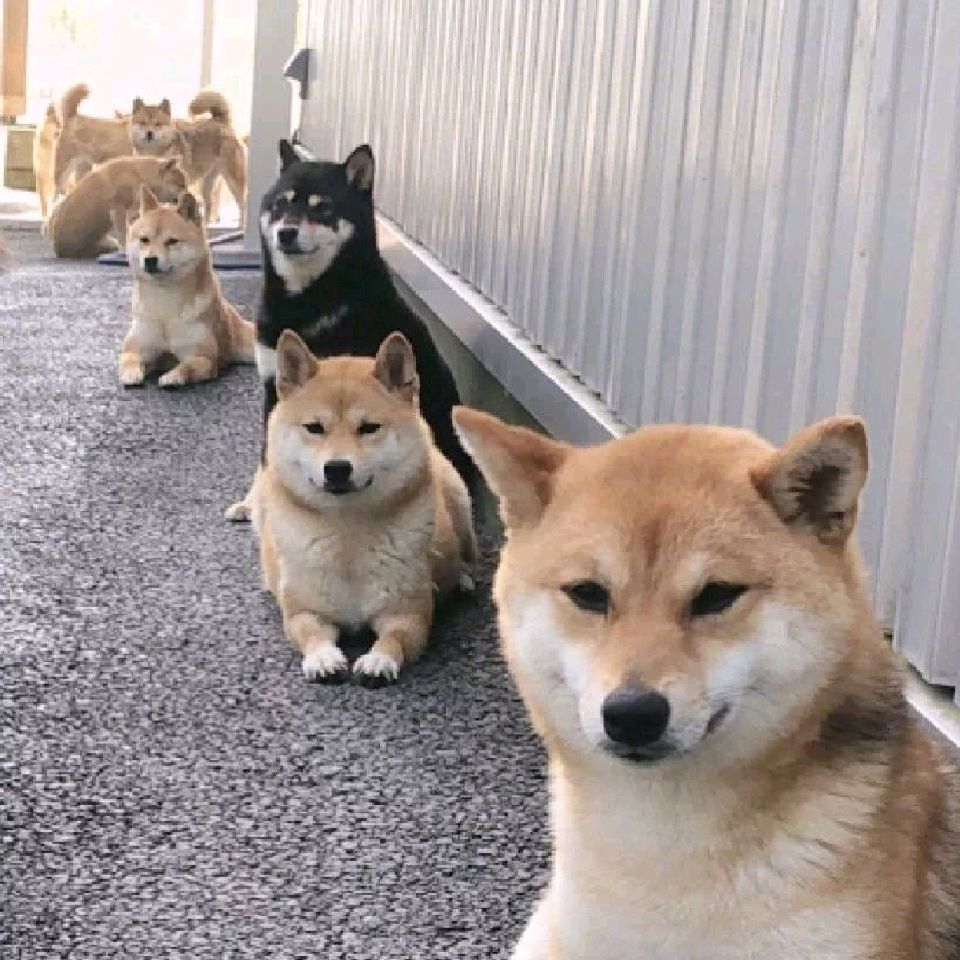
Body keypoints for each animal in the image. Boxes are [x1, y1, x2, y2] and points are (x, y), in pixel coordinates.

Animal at [48, 156, 187, 259]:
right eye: (181, 185)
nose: (189, 195)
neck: (138, 175)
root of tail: (58, 250)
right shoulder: (119, 209)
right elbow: (123, 234)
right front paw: (126, 251)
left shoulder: (131, 214)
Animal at [118, 189, 255, 388]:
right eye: (144, 240)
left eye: (172, 241)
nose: (150, 260)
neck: (164, 307)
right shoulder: (136, 348)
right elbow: (129, 359)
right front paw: (130, 374)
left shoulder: (203, 357)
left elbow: (186, 367)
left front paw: (173, 376)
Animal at [224, 140, 476, 521]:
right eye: (281, 204)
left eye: (323, 208)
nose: (286, 232)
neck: (311, 297)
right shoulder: (275, 385)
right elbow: (269, 453)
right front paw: (257, 502)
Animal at [250, 330, 477, 685]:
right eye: (315, 427)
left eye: (369, 428)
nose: (337, 468)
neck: (348, 536)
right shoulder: (304, 610)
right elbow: (310, 633)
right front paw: (323, 657)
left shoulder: (407, 613)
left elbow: (395, 638)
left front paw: (379, 660)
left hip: (460, 500)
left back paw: (463, 578)